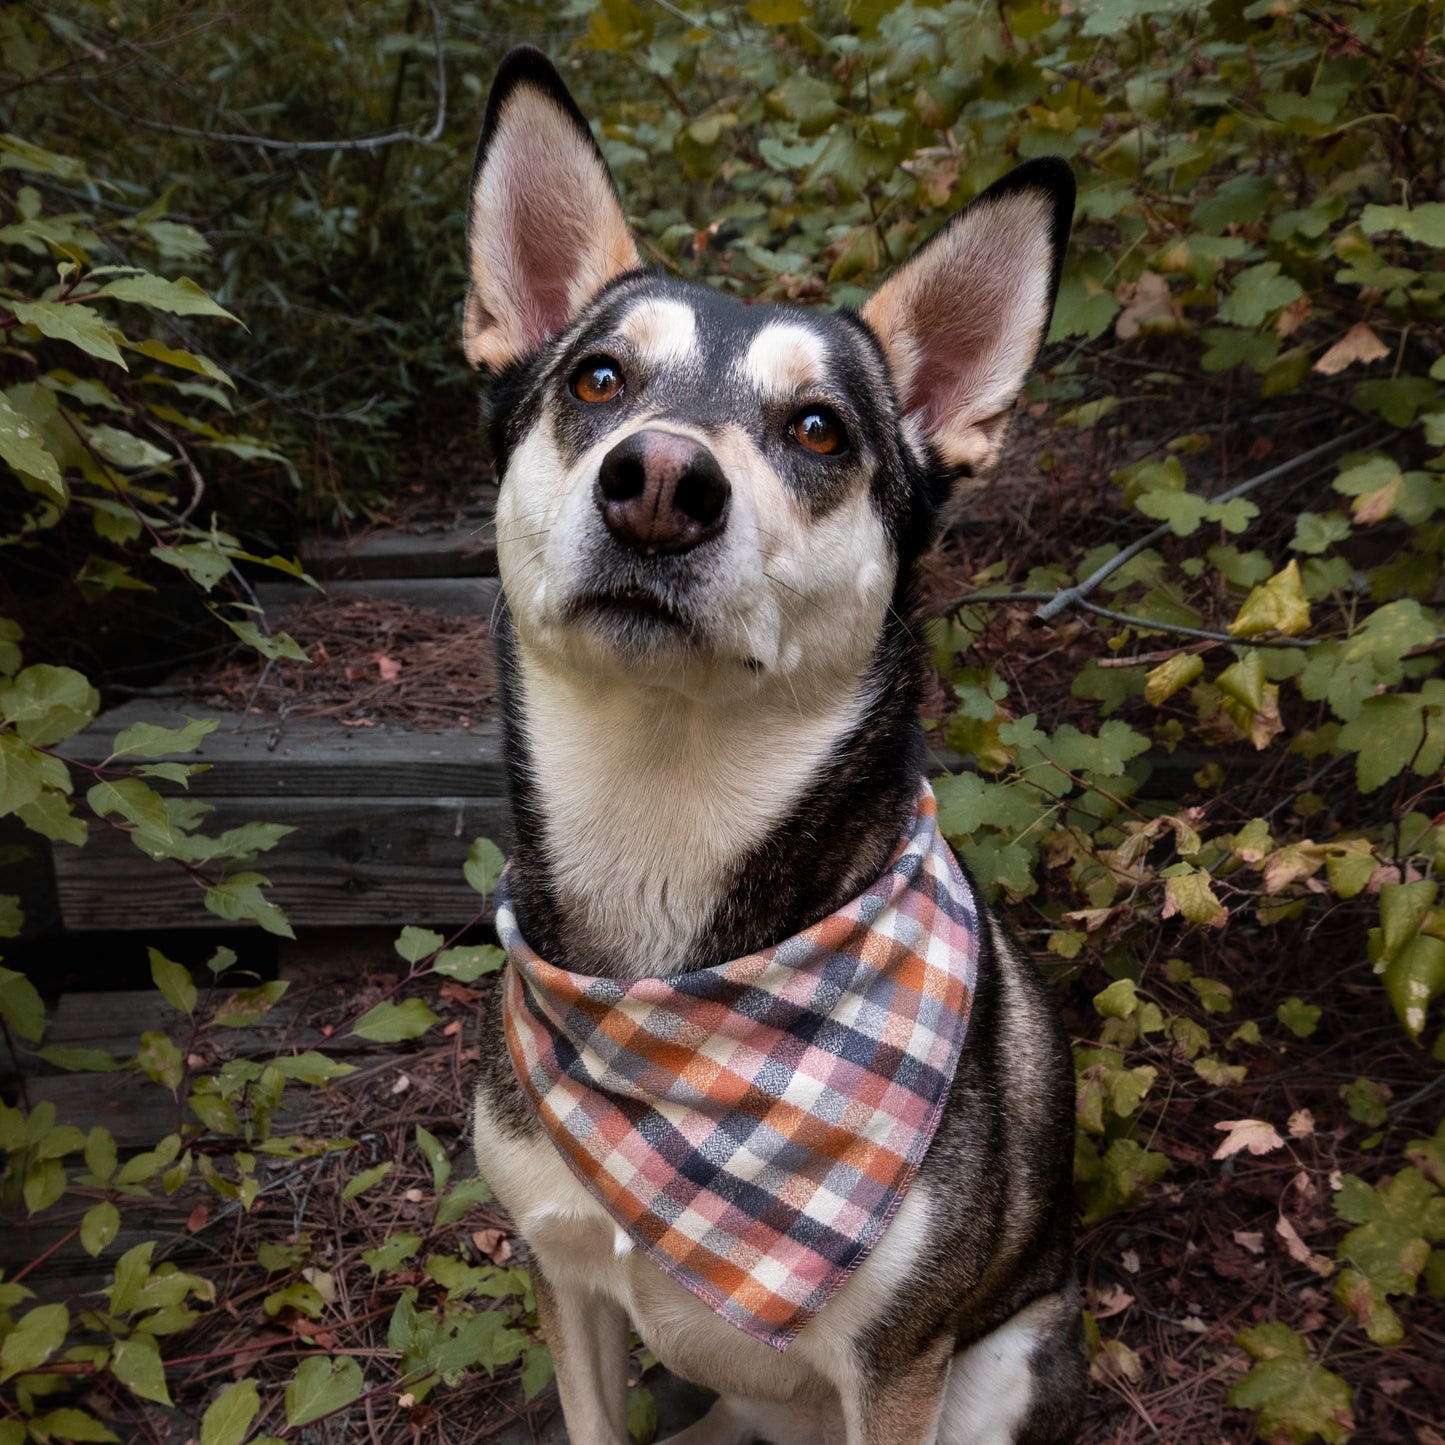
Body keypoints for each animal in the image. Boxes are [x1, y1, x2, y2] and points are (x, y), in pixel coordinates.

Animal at [462, 45, 1086, 1445]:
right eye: (596, 379)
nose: (657, 483)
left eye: (818, 428)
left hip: (999, 1368)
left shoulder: (895, 1362)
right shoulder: (564, 1272)